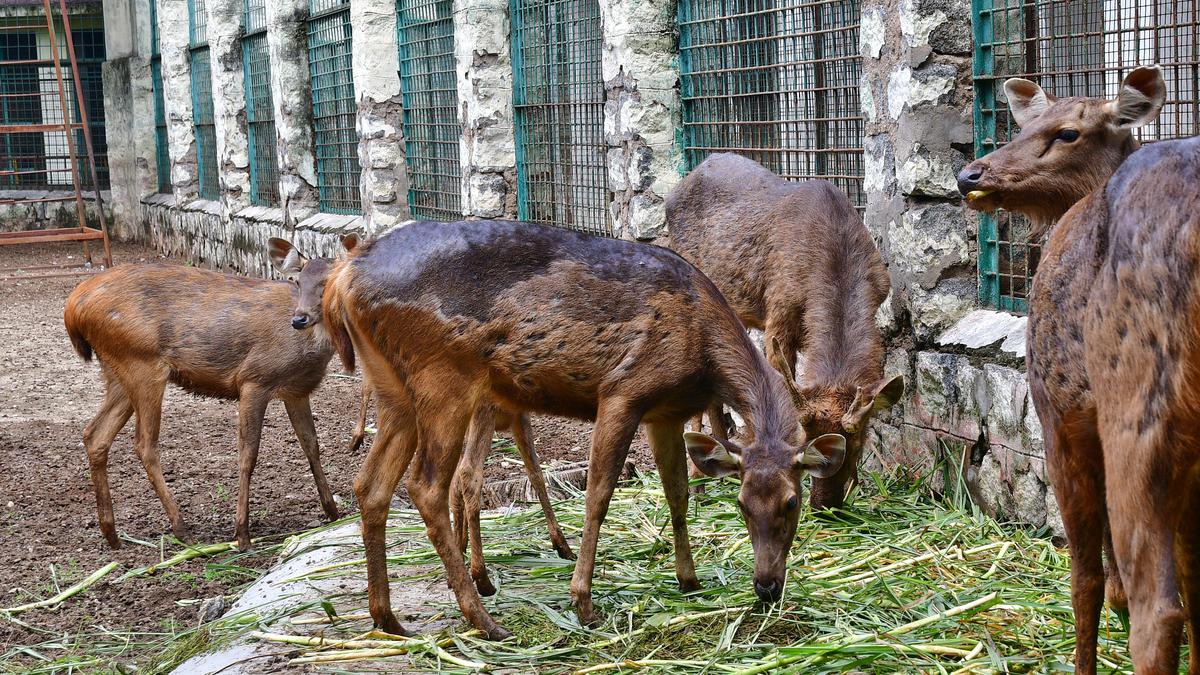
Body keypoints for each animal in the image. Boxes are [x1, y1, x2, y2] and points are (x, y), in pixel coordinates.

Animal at [62, 239, 348, 550]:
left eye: (328, 281)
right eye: (296, 280)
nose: (299, 319)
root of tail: (73, 308)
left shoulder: (296, 391)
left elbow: (311, 445)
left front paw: (334, 513)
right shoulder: (254, 379)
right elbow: (248, 454)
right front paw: (242, 534)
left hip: (118, 371)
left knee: (95, 435)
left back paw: (112, 533)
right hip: (141, 363)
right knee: (144, 444)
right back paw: (182, 529)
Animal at [272, 236, 576, 593]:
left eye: (320, 284)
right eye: (295, 281)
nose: (299, 319)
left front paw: (459, 550)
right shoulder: (514, 416)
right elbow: (535, 472)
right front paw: (561, 545)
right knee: (467, 474)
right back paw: (482, 577)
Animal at [319, 219, 844, 634]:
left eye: (789, 502)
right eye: (741, 504)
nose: (767, 586)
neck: (704, 353)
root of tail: (343, 278)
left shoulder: (665, 413)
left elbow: (677, 493)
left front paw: (689, 580)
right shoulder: (623, 391)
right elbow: (599, 495)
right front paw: (583, 601)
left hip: (392, 388)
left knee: (370, 484)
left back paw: (388, 617)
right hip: (443, 377)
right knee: (427, 486)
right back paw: (484, 619)